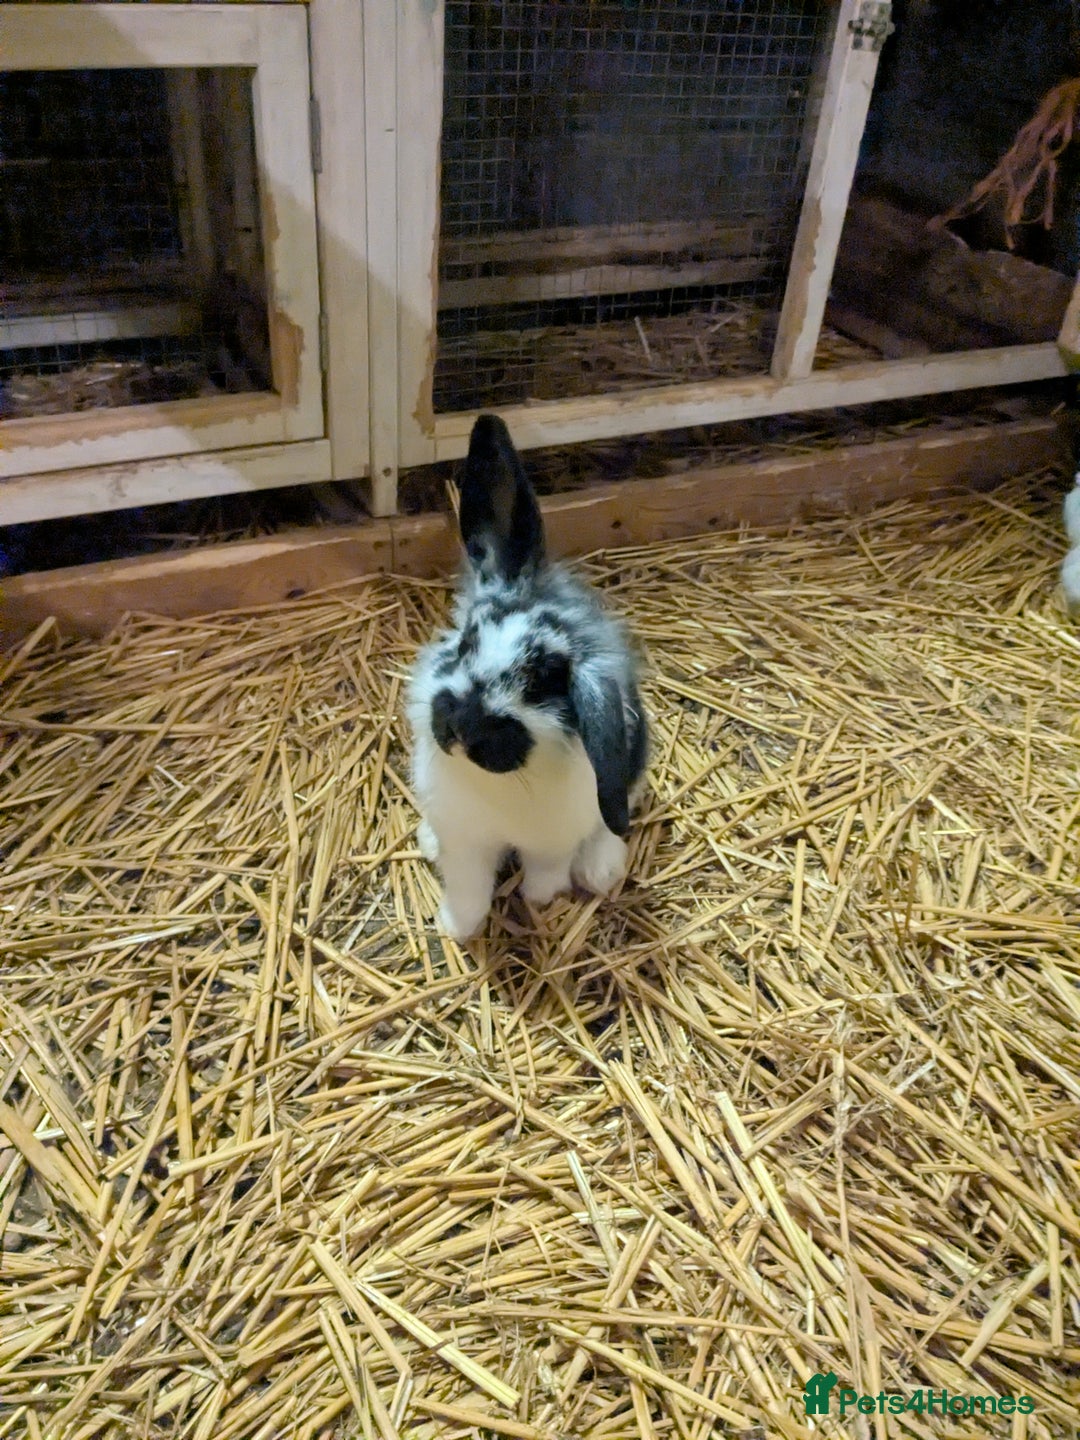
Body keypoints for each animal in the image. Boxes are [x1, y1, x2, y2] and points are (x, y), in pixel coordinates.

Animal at [407, 414, 648, 941]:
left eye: (542, 683)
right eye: (466, 642)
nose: (461, 728)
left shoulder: (550, 842)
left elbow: (545, 874)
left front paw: (540, 900)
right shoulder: (465, 841)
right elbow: (469, 888)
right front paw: (457, 928)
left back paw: (600, 868)